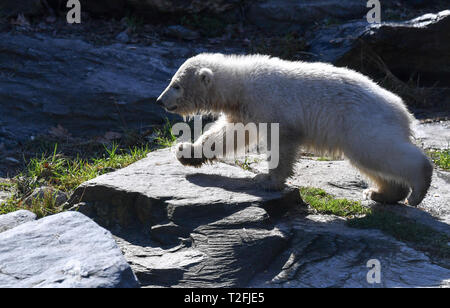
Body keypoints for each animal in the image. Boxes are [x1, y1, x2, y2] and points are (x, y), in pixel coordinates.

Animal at [157, 53, 432, 207]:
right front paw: (186, 152)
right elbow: (229, 134)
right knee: (371, 161)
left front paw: (267, 180)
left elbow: (281, 144)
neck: (242, 84)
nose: (160, 100)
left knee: (378, 151)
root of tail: (403, 110)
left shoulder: (273, 105)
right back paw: (380, 193)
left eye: (176, 85)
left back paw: (417, 188)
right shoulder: (246, 111)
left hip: (362, 123)